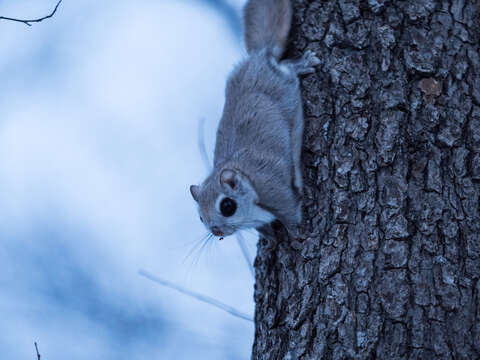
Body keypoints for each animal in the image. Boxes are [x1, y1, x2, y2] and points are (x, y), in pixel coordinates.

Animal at [189, 0, 320, 239]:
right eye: (200, 216)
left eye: (227, 206)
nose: (215, 230)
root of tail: (258, 57)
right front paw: (271, 236)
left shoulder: (273, 190)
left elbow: (292, 213)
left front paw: (298, 232)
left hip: (284, 88)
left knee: (288, 70)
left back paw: (303, 64)